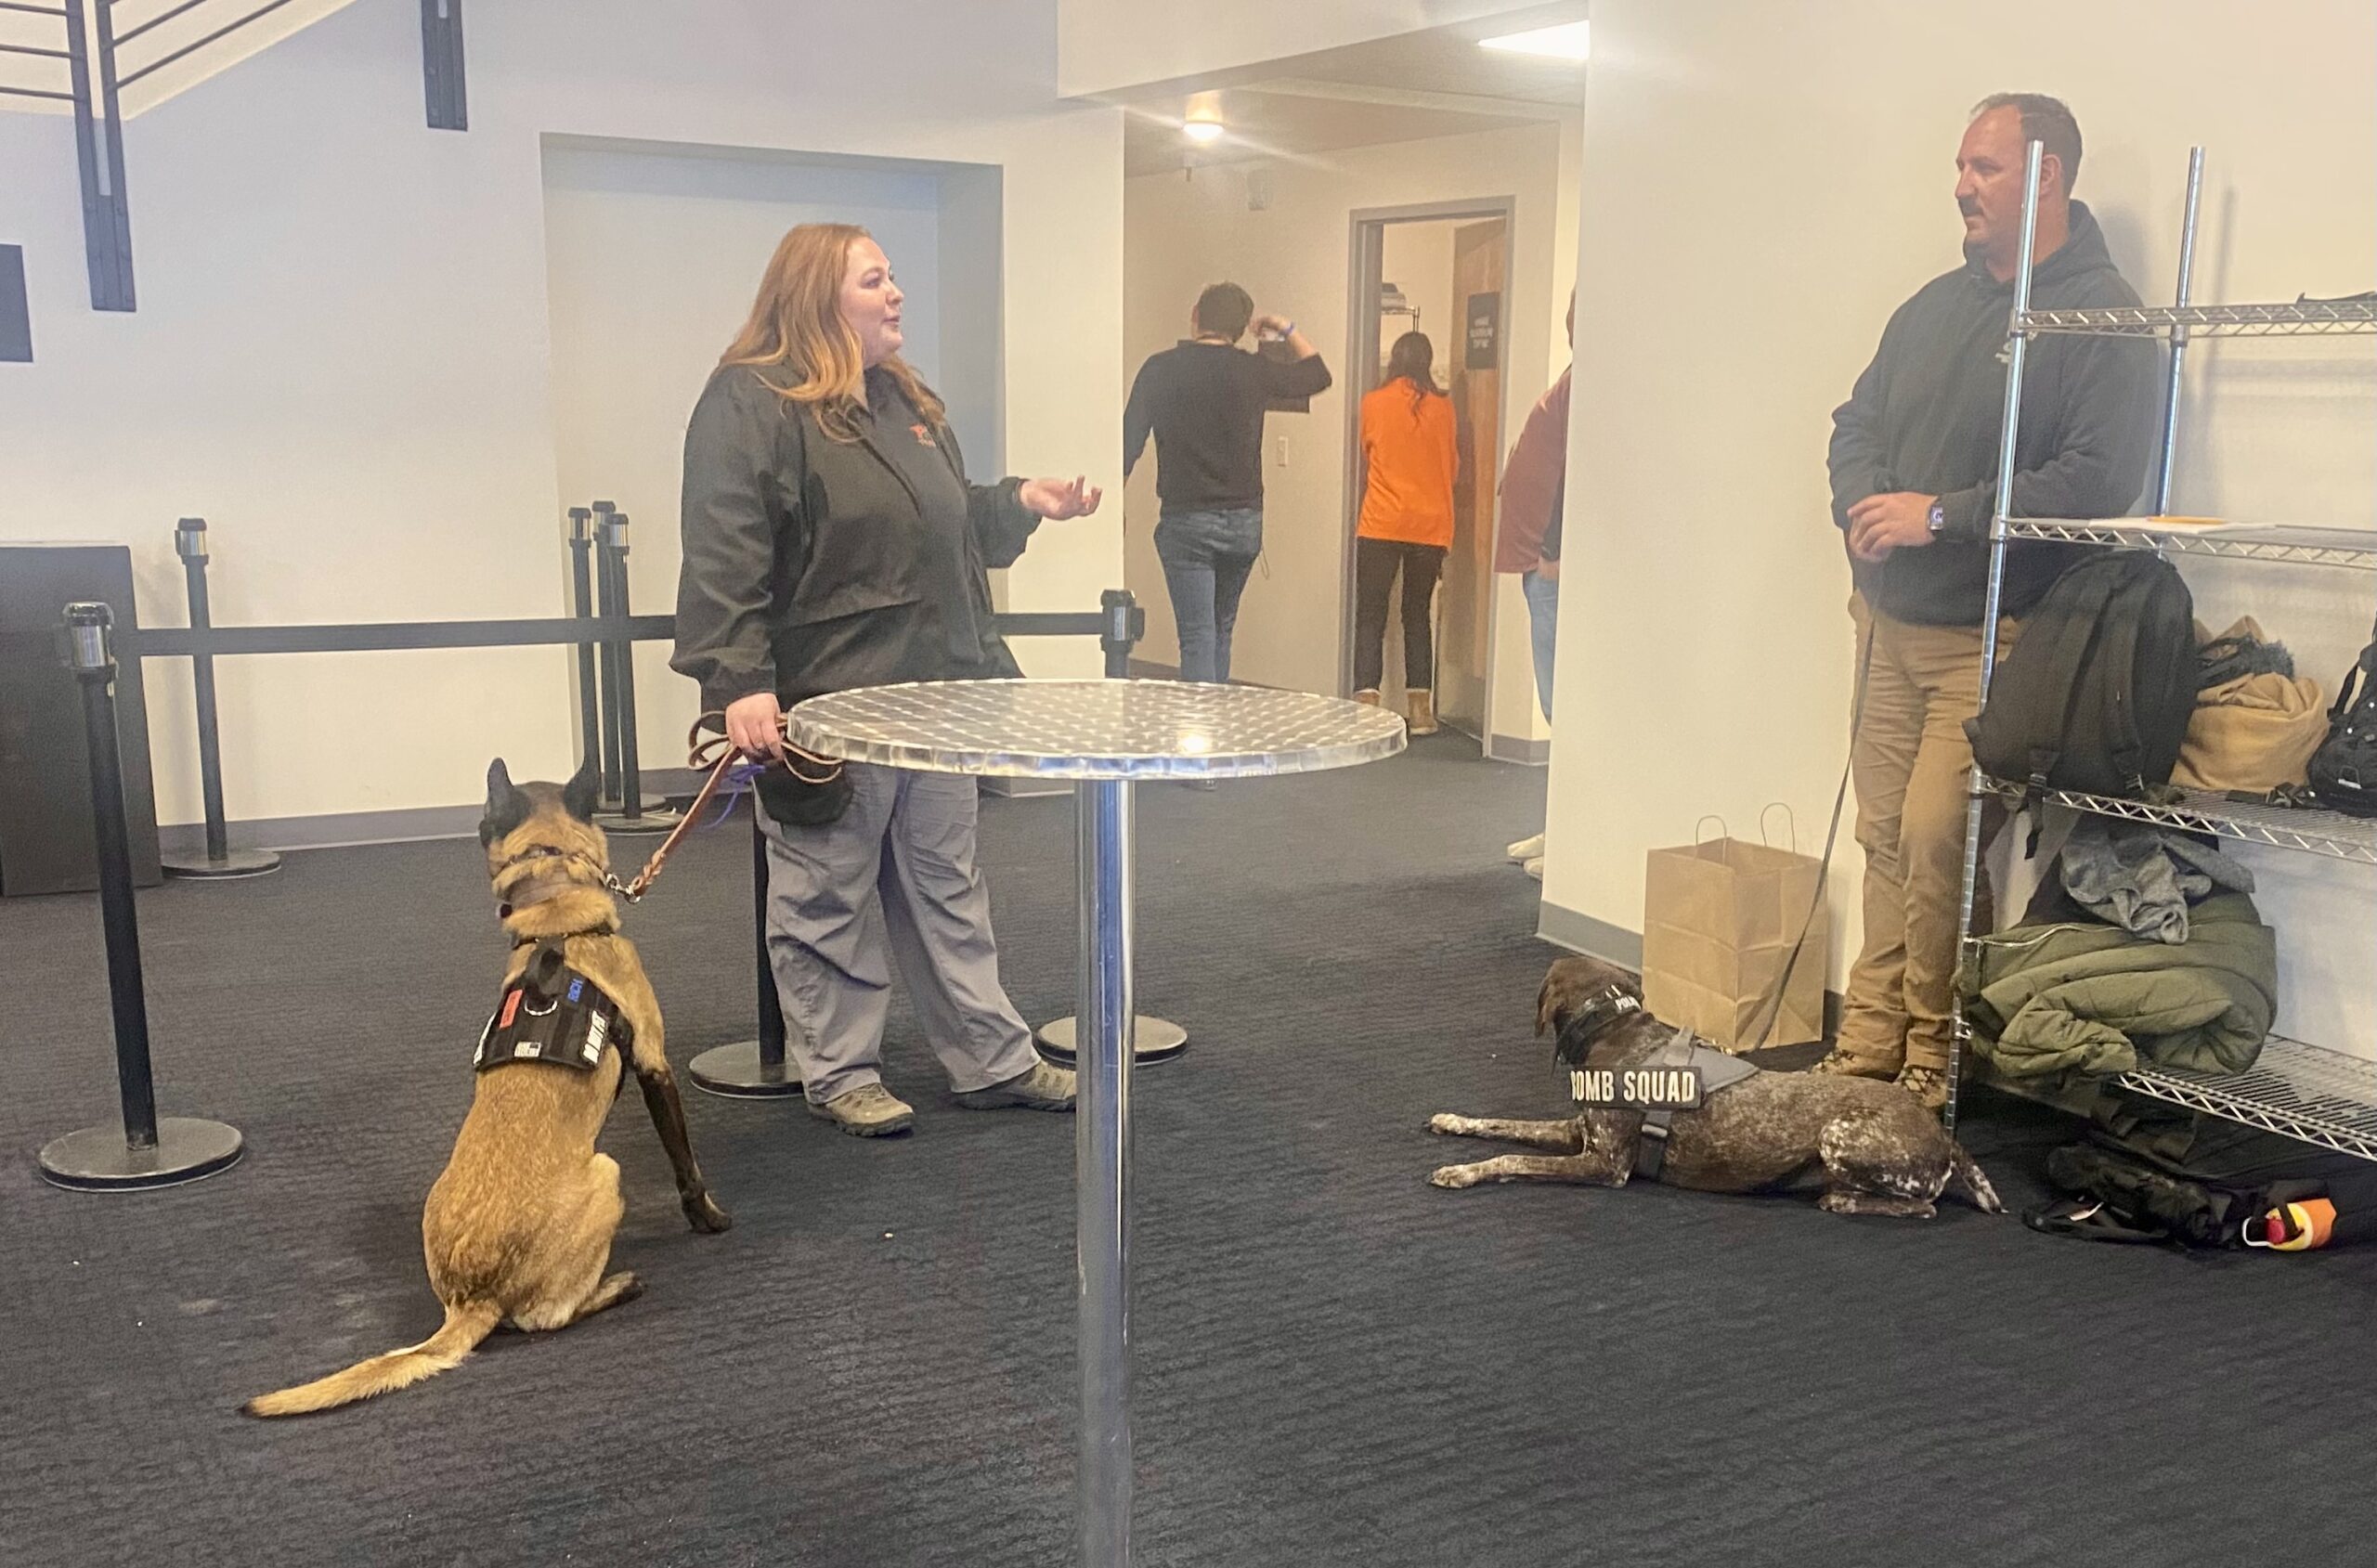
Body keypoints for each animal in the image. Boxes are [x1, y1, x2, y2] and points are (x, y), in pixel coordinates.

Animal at [242, 759, 727, 1425]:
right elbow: (688, 1167)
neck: (556, 910)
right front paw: (709, 1218)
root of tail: (472, 1298)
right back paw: (617, 1286)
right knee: (545, 1318)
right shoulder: (656, 1064)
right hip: (607, 1172)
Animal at [1426, 950, 2006, 1216]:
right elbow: (1502, 1124)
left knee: (1924, 1207)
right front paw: (1454, 1121)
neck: (1617, 1027)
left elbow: (1510, 1157)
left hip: (1838, 1137)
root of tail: (1943, 1134)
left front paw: (1461, 1172)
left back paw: (1839, 1200)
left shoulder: (1606, 1165)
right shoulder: (1578, 1134)